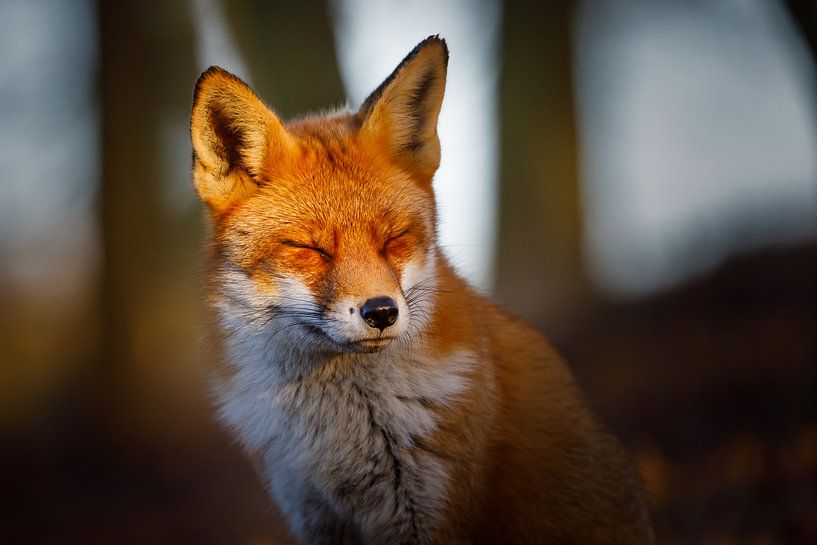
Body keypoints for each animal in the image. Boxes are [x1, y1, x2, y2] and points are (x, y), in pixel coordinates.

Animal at [189, 36, 654, 545]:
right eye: (310, 249)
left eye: (394, 239)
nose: (381, 312)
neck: (342, 429)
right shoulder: (312, 511)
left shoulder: (433, 504)